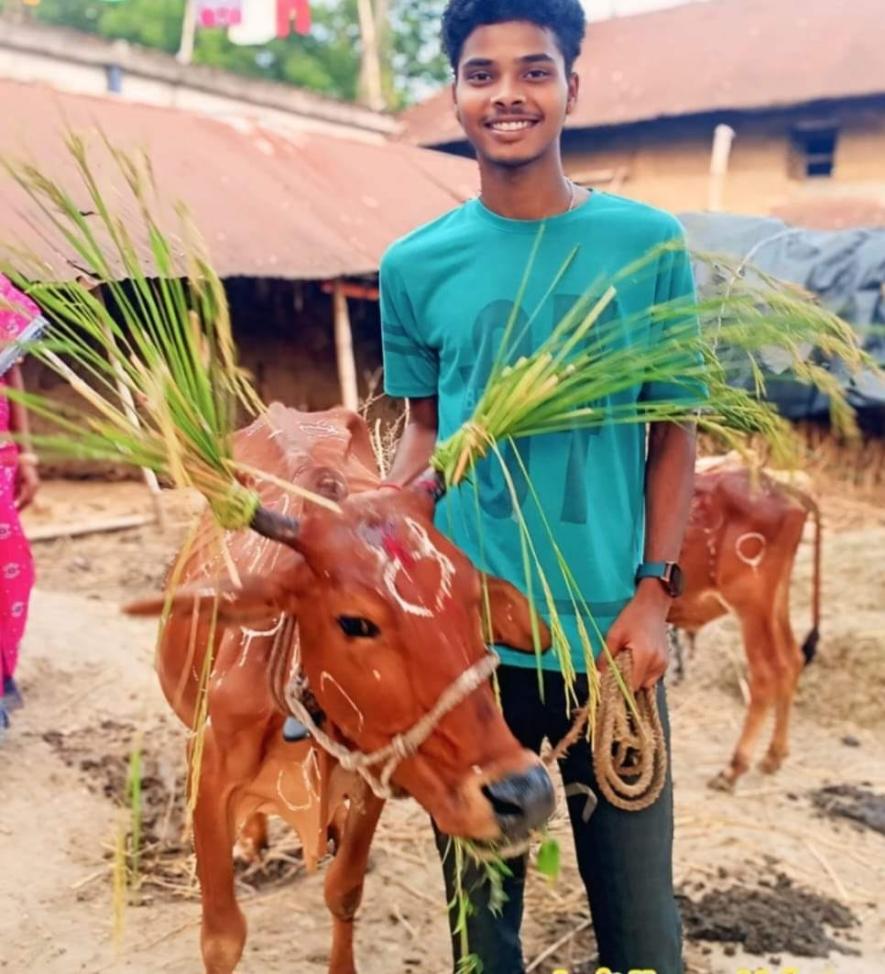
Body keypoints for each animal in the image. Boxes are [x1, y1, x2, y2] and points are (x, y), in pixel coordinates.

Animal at [129, 404, 552, 974]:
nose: (524, 794)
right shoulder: (207, 770)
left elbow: (344, 890)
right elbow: (222, 938)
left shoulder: (380, 768)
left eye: (472, 599)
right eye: (354, 622)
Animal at [668, 460, 820, 792]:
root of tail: (788, 493)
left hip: (751, 605)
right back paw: (773, 756)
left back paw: (733, 769)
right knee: (792, 660)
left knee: (766, 675)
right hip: (774, 603)